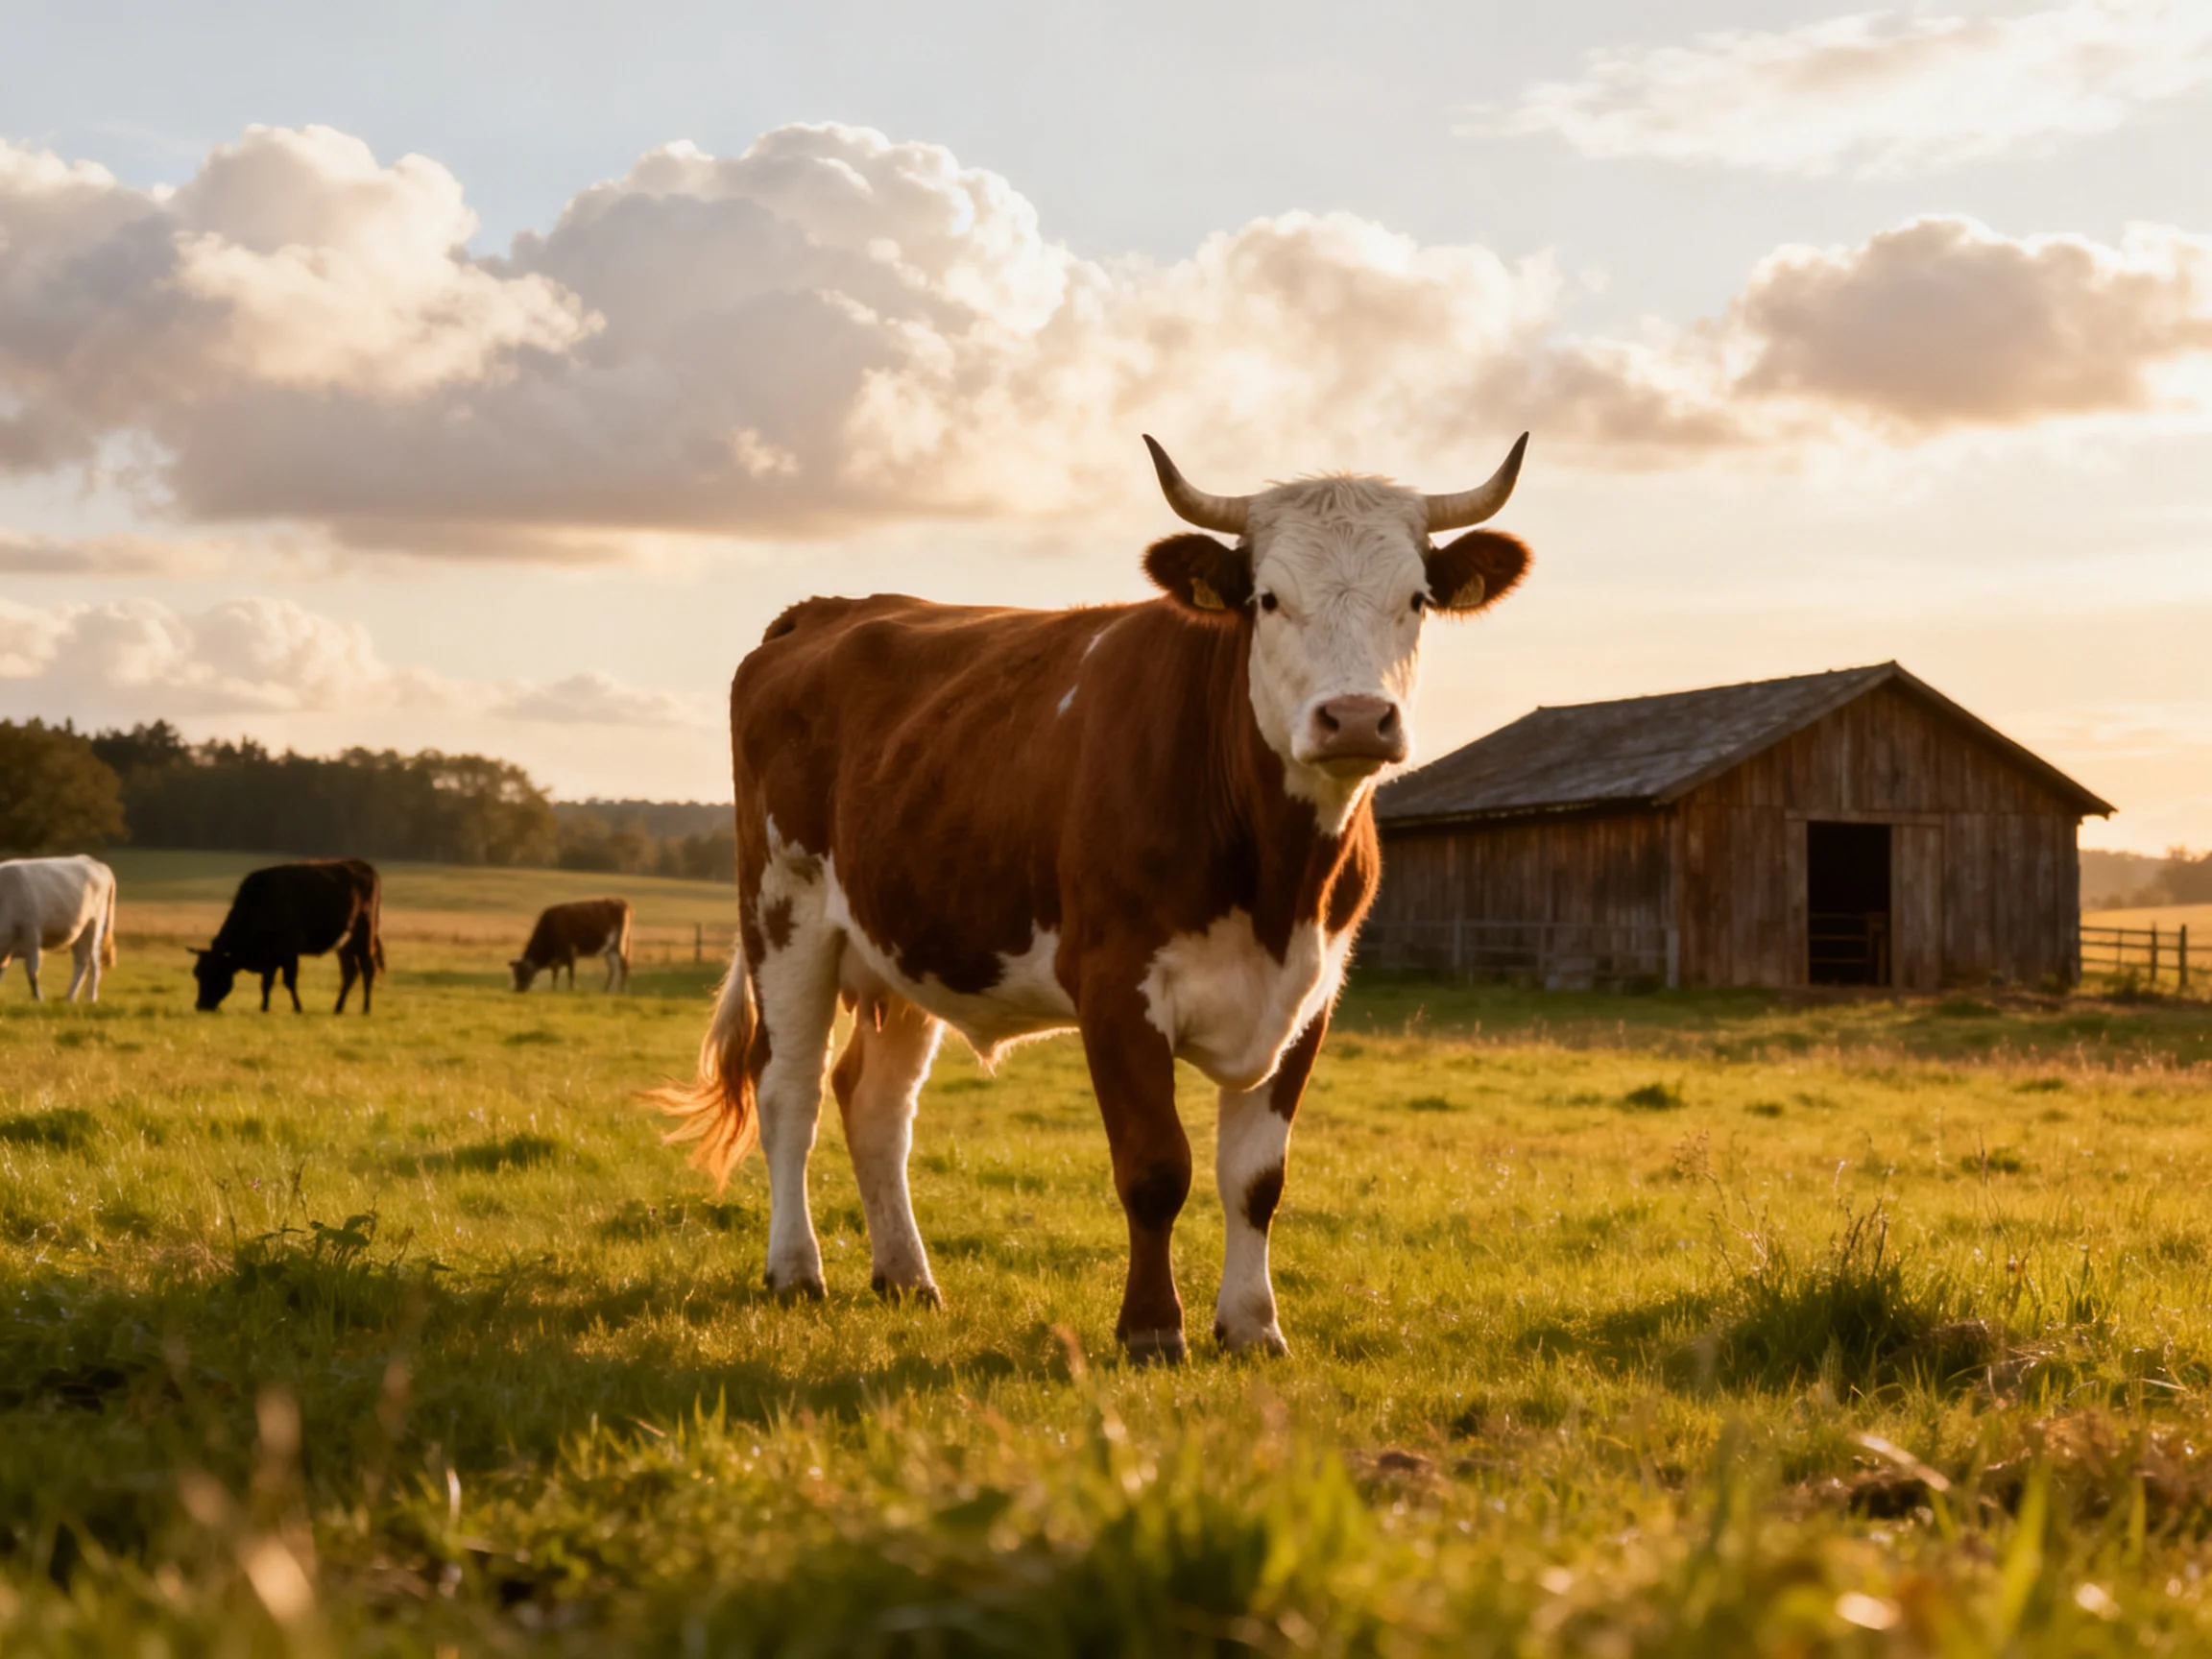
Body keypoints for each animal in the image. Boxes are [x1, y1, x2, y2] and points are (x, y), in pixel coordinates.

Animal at [0, 855, 119, 1003]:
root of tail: (93, 861)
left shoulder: (32, 935)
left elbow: (32, 971)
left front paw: (39, 999)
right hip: (78, 934)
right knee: (81, 963)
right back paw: (70, 997)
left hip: (93, 926)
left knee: (94, 965)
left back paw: (90, 999)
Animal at [191, 859, 384, 1014]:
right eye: (197, 973)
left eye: (213, 971)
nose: (201, 1006)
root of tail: (362, 865)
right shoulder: (270, 958)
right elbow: (266, 983)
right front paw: (264, 1008)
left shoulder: (288, 952)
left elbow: (288, 981)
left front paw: (298, 1008)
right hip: (345, 945)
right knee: (350, 971)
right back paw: (338, 1008)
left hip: (364, 937)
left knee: (368, 968)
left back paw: (366, 1009)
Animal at [649, 435, 1532, 1363]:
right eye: (1268, 598)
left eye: (1416, 599)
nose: (1357, 718)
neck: (1274, 882)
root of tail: (823, 611)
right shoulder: (1115, 985)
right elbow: (1156, 1167)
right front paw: (1151, 1329)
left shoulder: (1311, 993)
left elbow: (1257, 1179)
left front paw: (1253, 1326)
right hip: (783, 913)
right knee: (791, 1088)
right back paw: (796, 1270)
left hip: (907, 939)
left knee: (876, 1103)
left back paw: (907, 1276)